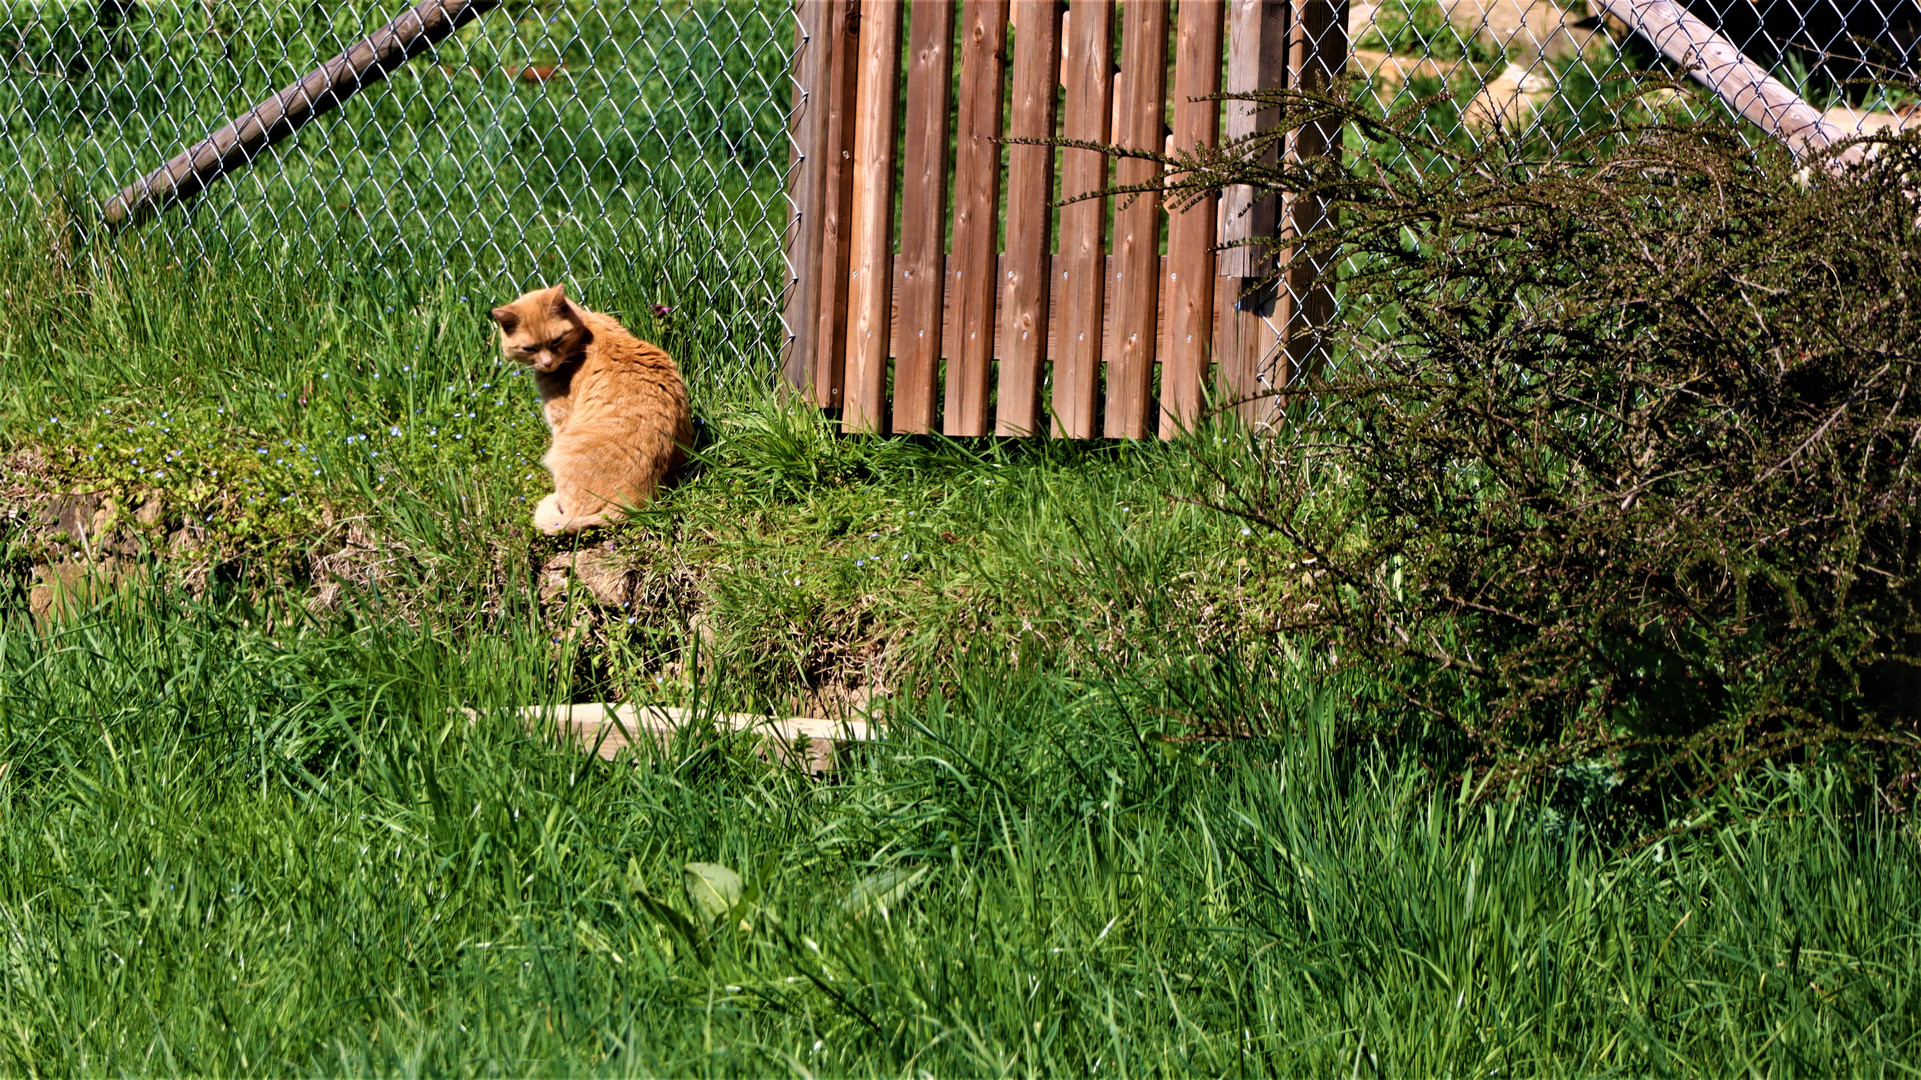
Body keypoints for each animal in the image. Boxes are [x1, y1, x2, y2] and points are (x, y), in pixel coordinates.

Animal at [487, 284, 691, 530]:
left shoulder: (560, 421)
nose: (547, 363)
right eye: (530, 348)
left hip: (561, 454)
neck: (586, 330)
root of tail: (632, 503)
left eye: (556, 340)